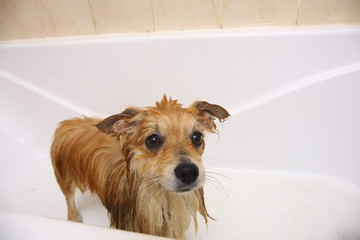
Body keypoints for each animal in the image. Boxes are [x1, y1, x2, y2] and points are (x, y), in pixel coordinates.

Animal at [50, 96, 229, 238]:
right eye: (153, 140)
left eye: (197, 137)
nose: (188, 172)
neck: (163, 197)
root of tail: (68, 123)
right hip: (65, 177)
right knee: (69, 198)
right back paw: (73, 217)